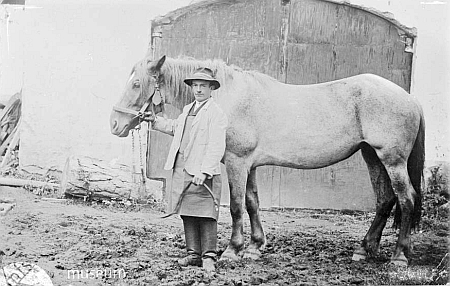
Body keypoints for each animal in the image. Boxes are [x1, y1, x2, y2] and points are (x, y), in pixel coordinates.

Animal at [110, 55, 426, 266]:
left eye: (136, 84)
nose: (115, 124)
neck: (228, 96)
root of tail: (410, 98)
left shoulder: (237, 162)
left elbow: (236, 206)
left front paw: (233, 249)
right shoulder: (249, 165)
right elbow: (252, 203)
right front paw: (255, 246)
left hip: (392, 160)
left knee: (406, 198)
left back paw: (399, 257)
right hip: (372, 156)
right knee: (385, 199)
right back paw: (364, 249)